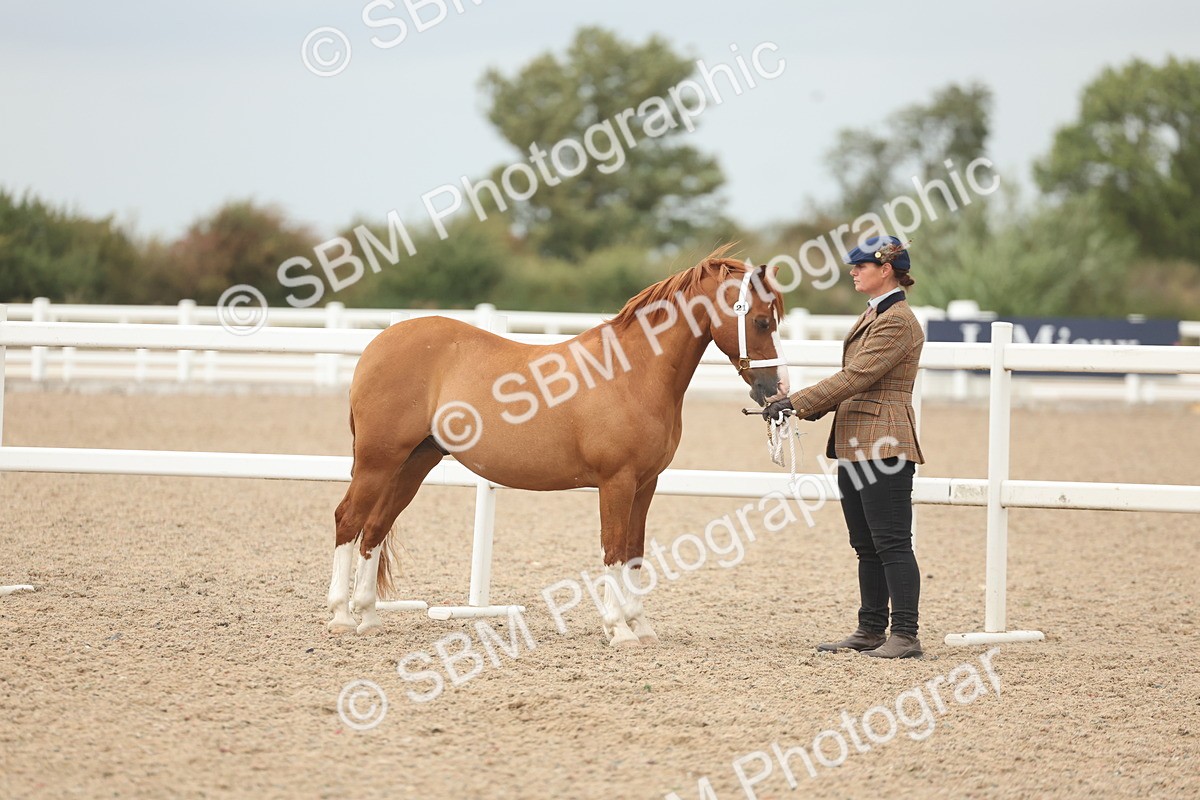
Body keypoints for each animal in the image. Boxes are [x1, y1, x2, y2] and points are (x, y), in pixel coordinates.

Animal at [326, 247, 790, 645]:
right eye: (761, 322)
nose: (776, 392)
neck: (633, 374)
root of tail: (377, 345)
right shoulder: (616, 482)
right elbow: (613, 549)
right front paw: (618, 629)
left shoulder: (646, 484)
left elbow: (635, 553)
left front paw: (640, 626)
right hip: (378, 461)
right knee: (349, 520)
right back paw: (342, 616)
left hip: (413, 463)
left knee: (375, 527)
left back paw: (368, 616)